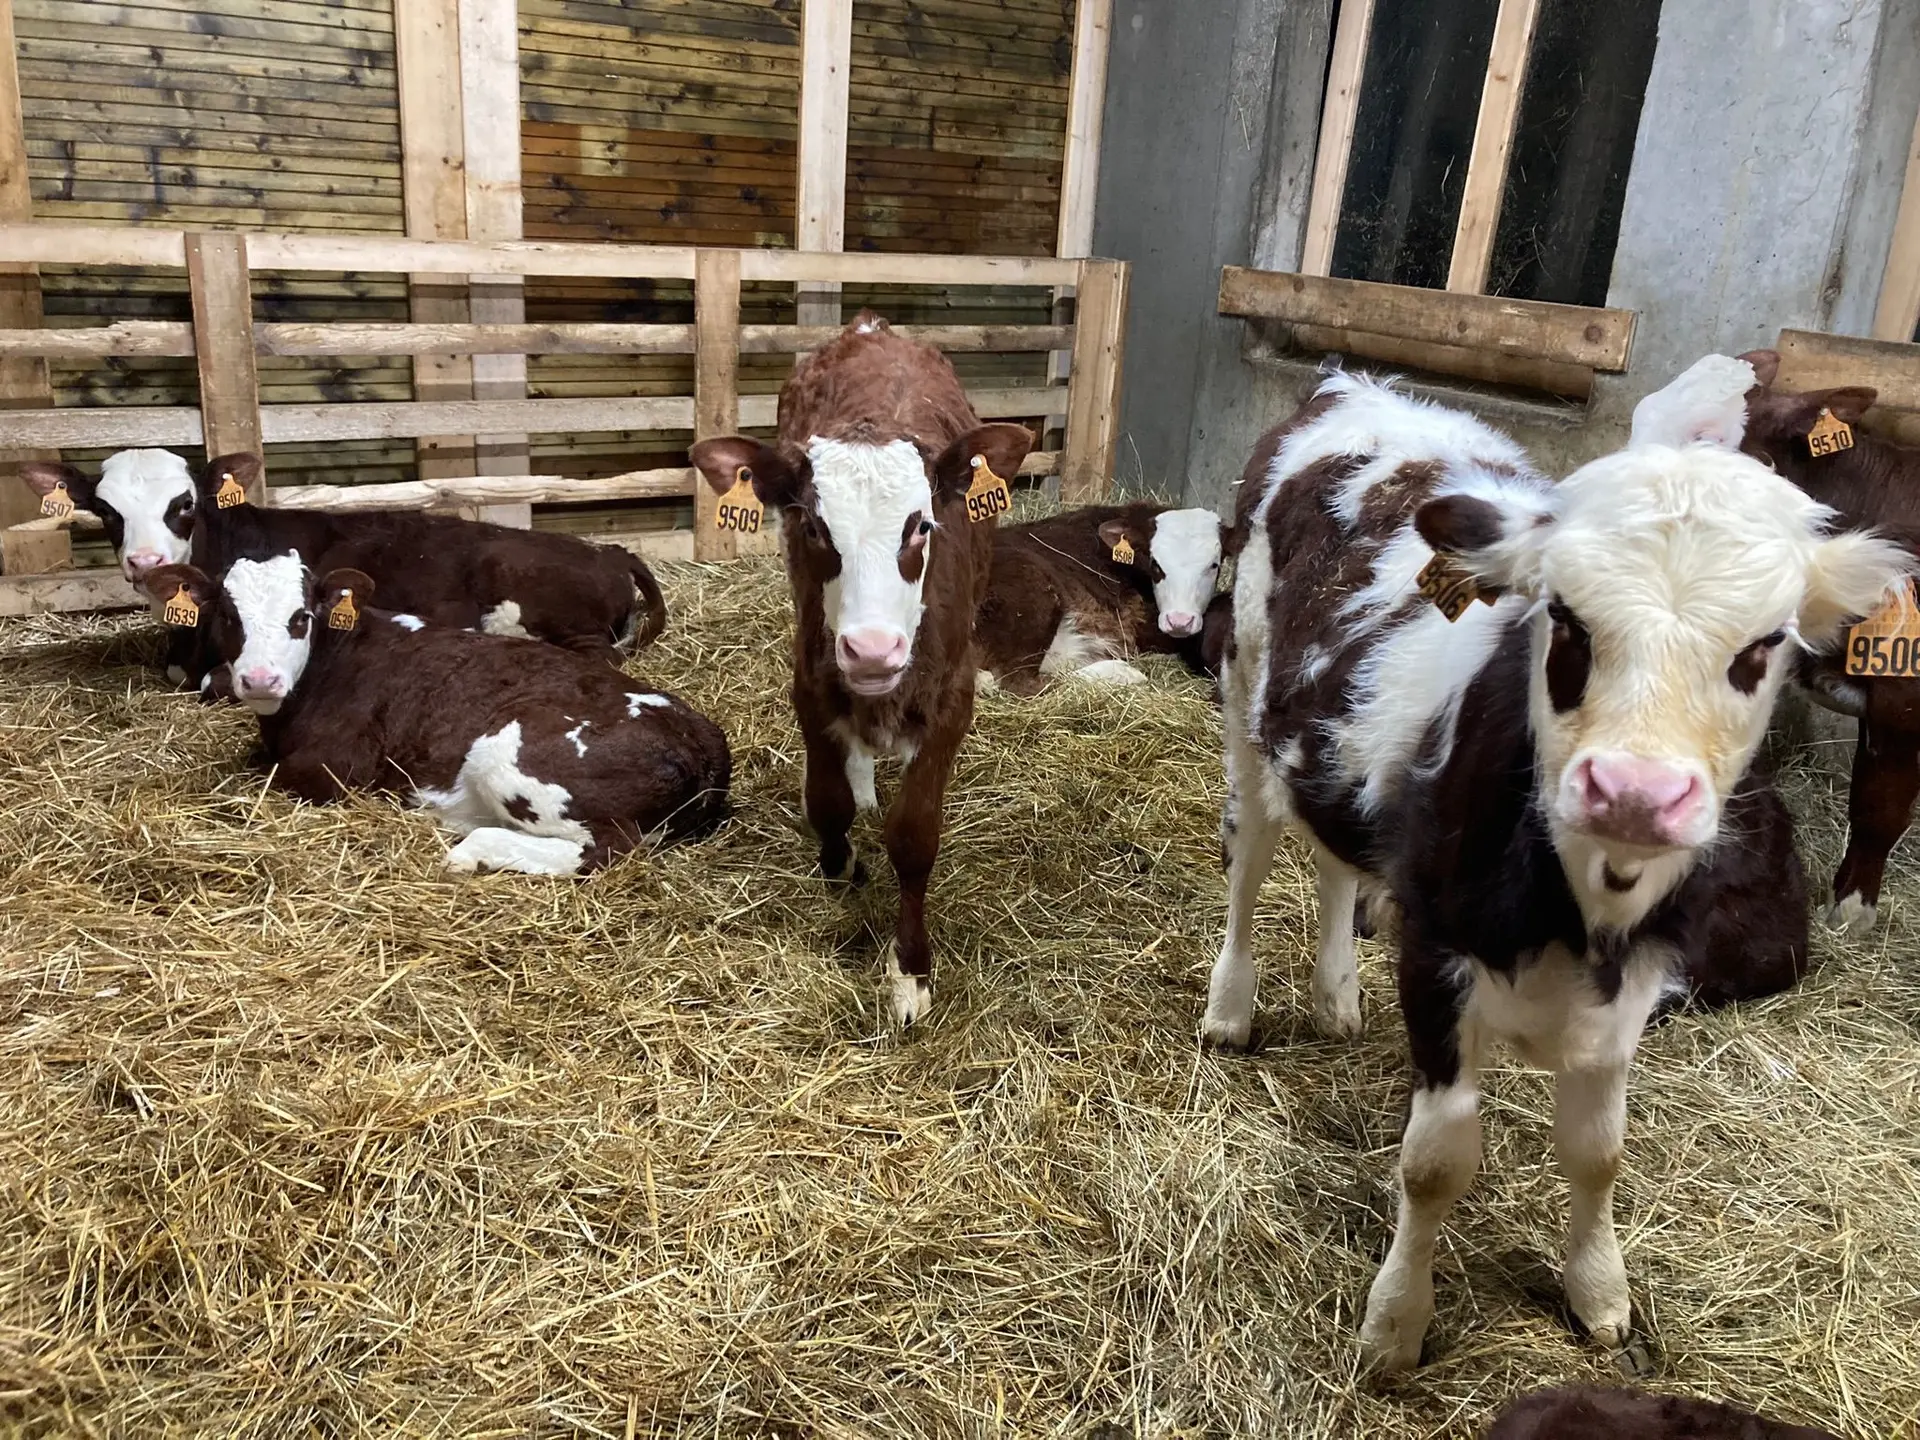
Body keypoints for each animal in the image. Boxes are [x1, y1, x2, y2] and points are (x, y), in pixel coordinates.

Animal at [145, 556, 729, 875]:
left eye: (301, 617)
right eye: (227, 615)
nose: (261, 679)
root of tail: (704, 740)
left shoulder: (332, 770)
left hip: (507, 754)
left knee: (603, 850)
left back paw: (468, 848)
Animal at [683, 314, 1029, 1029]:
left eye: (921, 526)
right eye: (814, 526)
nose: (872, 650)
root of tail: (872, 328)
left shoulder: (952, 697)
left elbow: (915, 836)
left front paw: (910, 970)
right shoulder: (811, 679)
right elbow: (828, 801)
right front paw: (839, 861)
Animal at [1205, 372, 1912, 1374]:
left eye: (1765, 644)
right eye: (1565, 616)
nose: (1634, 792)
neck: (1580, 912)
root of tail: (1358, 385)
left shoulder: (1636, 987)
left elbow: (1598, 1151)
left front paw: (1599, 1293)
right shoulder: (1435, 952)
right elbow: (1436, 1162)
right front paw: (1395, 1324)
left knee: (1337, 856)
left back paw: (1336, 998)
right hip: (1246, 691)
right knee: (1253, 854)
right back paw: (1230, 1009)